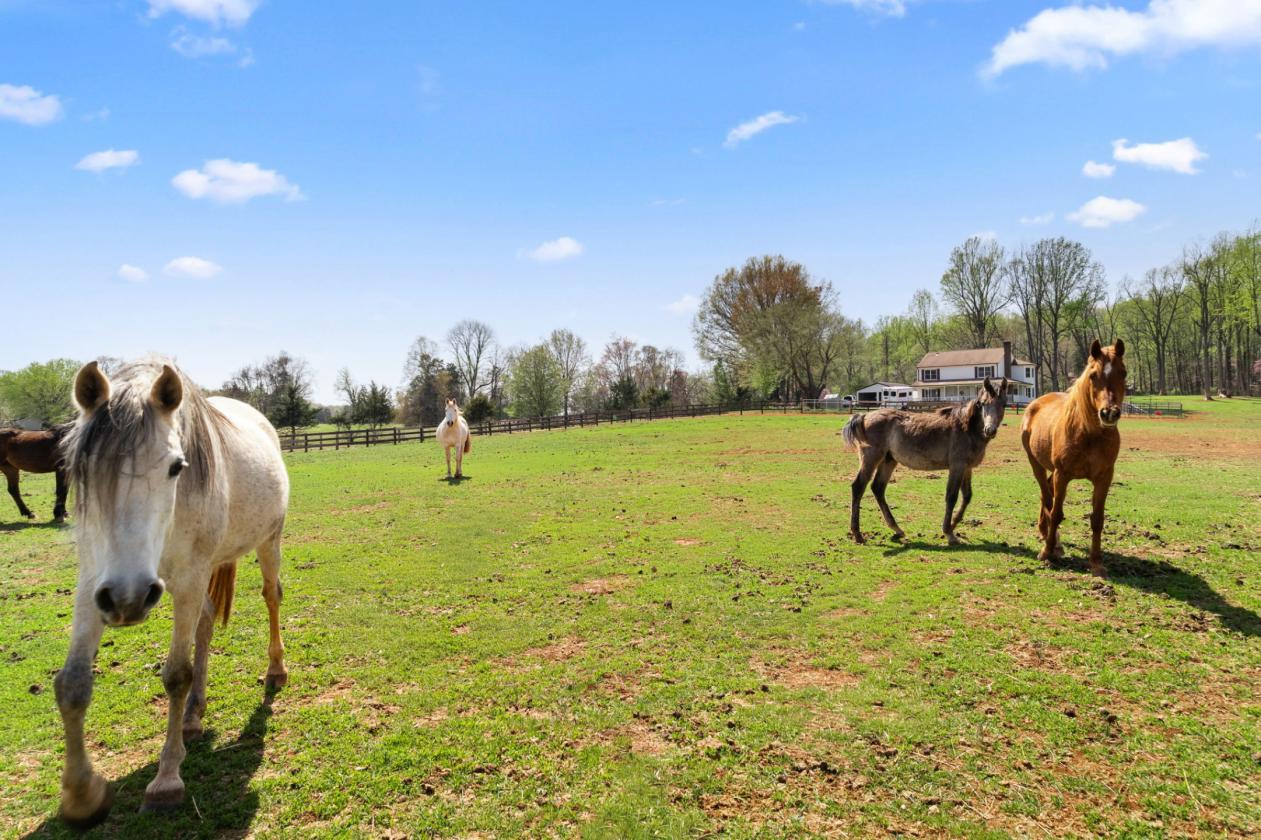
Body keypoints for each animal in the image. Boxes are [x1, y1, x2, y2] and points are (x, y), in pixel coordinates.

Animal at [53, 358, 290, 827]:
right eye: (81, 468)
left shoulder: (188, 577)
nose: (127, 598)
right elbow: (72, 683)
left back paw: (275, 670)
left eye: (176, 467)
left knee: (270, 596)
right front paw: (82, 794)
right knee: (205, 622)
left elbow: (176, 674)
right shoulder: (93, 582)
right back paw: (193, 716)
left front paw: (166, 781)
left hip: (265, 542)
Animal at [842, 377, 1009, 545]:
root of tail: (863, 416)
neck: (966, 427)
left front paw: (954, 524)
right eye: (983, 403)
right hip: (871, 458)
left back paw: (897, 529)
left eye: (1003, 404)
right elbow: (951, 497)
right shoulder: (957, 467)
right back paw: (858, 534)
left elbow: (967, 496)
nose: (990, 430)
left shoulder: (967, 468)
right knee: (858, 487)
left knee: (878, 488)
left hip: (889, 461)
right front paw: (949, 533)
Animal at [1021, 339, 1126, 576]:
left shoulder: (1104, 477)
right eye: (1093, 375)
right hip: (1036, 464)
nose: (1109, 413)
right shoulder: (1063, 475)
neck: (1089, 434)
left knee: (1047, 493)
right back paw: (1052, 541)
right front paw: (1047, 553)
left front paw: (1096, 562)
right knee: (1046, 496)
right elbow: (1057, 513)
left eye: (1123, 373)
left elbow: (1097, 519)